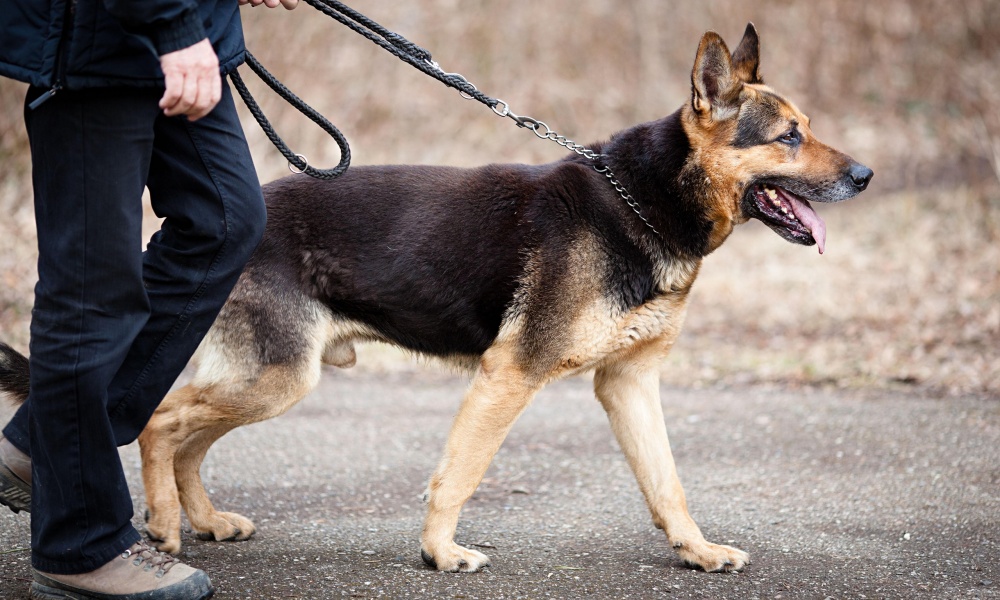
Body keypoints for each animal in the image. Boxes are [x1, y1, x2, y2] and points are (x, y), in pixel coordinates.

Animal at [0, 25, 872, 572]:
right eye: (788, 137)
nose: (865, 175)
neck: (645, 199)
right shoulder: (509, 376)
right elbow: (459, 473)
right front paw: (440, 553)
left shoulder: (629, 385)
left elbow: (667, 484)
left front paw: (696, 550)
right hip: (279, 378)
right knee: (160, 420)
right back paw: (165, 528)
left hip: (270, 379)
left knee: (187, 434)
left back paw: (204, 518)